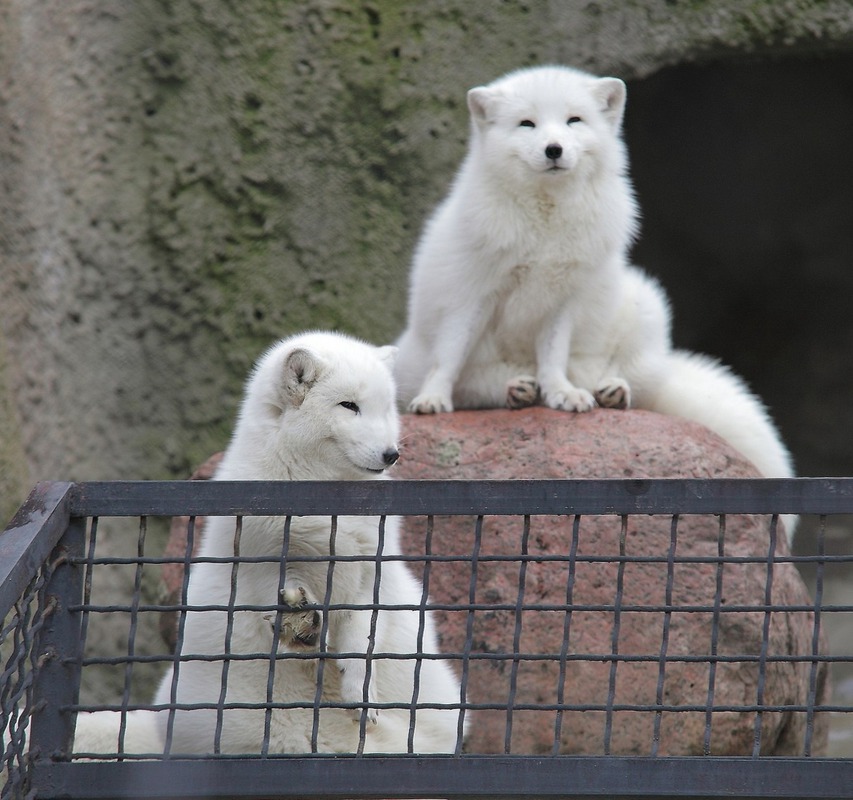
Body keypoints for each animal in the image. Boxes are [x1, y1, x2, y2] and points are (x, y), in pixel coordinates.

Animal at [396, 64, 796, 500]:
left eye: (574, 120)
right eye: (527, 124)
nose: (554, 149)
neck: (546, 220)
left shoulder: (562, 299)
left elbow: (553, 358)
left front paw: (561, 393)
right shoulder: (471, 294)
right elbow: (449, 356)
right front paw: (433, 398)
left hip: (644, 306)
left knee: (628, 383)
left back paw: (608, 392)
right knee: (478, 389)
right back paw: (518, 391)